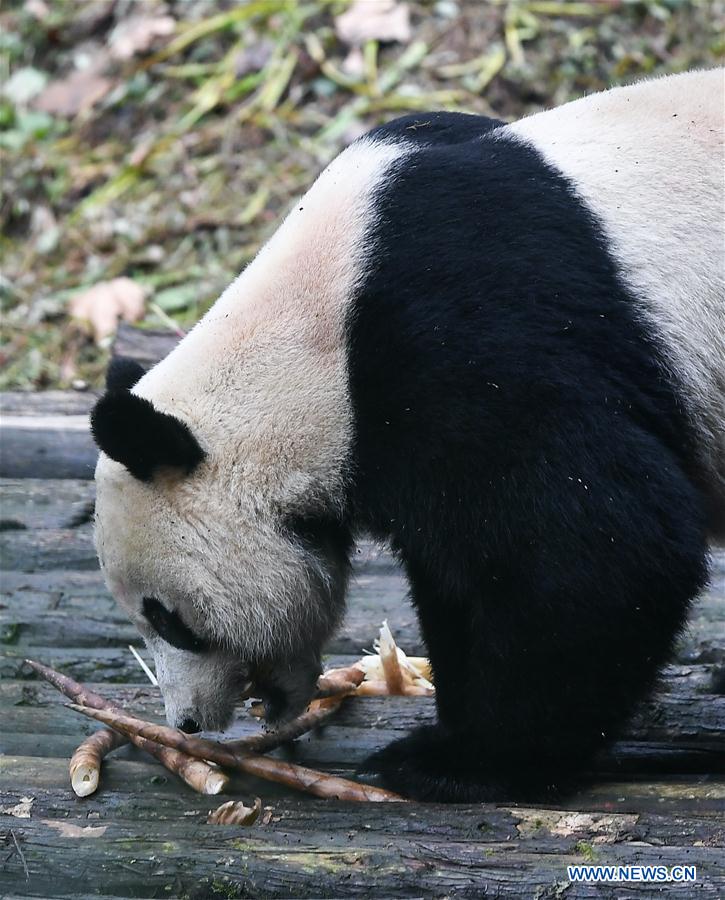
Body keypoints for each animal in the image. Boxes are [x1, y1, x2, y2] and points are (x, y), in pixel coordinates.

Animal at [91, 68, 724, 802]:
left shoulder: (465, 340)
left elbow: (608, 547)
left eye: (168, 619)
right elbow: (458, 576)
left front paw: (467, 761)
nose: (187, 722)